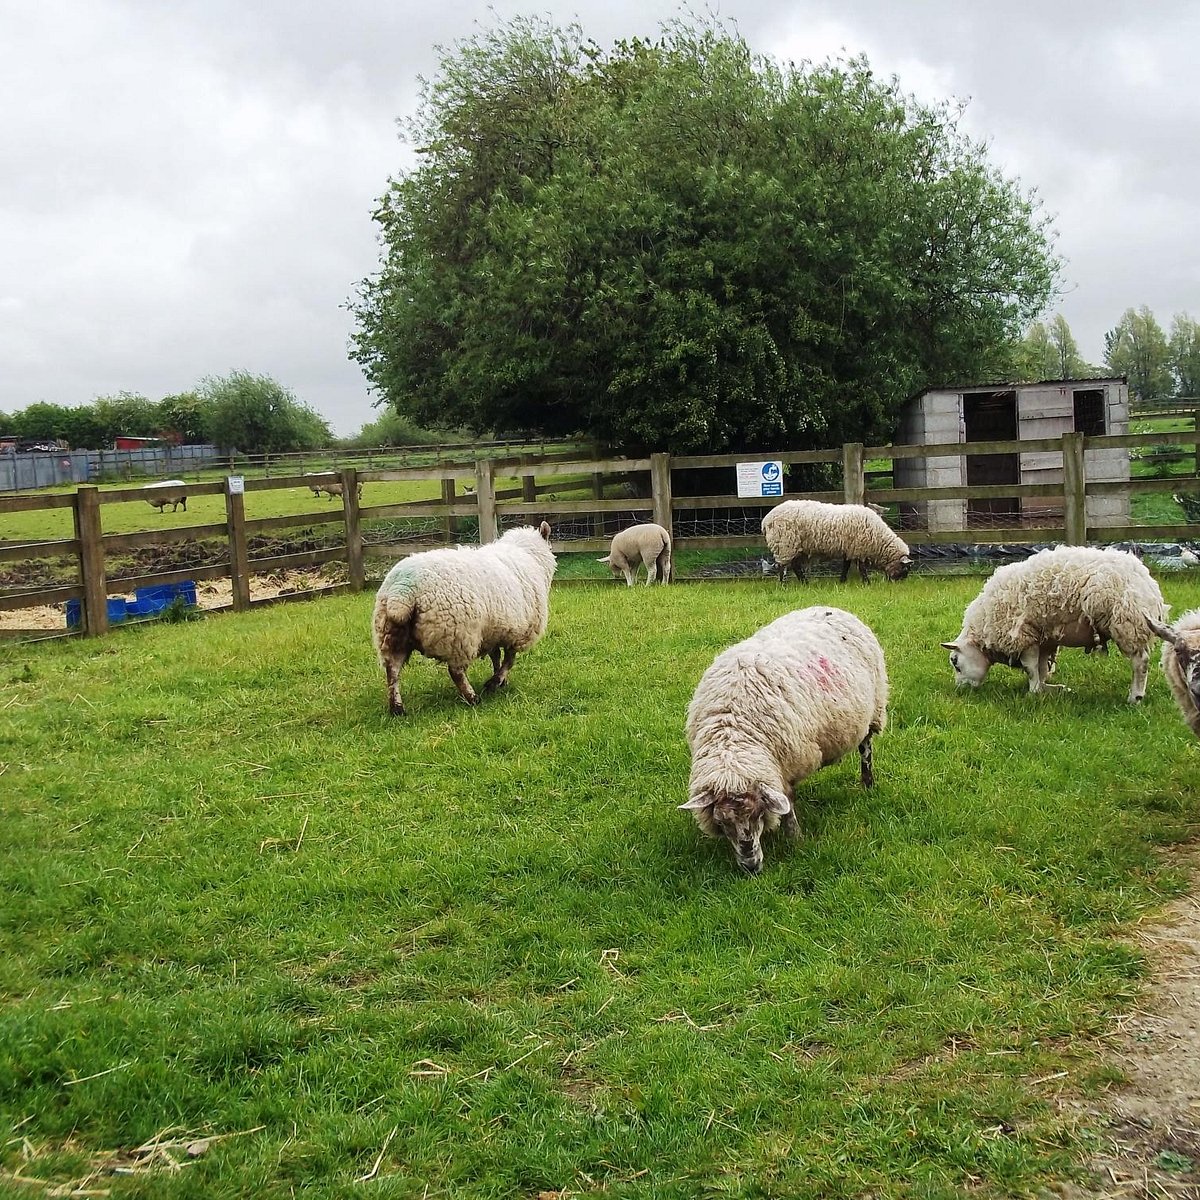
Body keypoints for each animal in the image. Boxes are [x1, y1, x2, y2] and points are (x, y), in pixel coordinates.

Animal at [372, 518, 554, 710]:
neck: (528, 555)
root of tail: (404, 589)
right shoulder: (519, 634)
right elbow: (509, 661)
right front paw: (495, 681)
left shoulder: (492, 631)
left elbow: (496, 656)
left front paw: (498, 680)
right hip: (458, 635)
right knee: (456, 672)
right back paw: (472, 698)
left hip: (390, 634)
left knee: (392, 671)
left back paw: (397, 707)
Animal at [681, 609, 888, 873]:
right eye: (722, 823)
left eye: (758, 814)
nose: (751, 867)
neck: (734, 734)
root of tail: (835, 608)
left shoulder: (787, 765)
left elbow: (788, 805)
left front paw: (795, 838)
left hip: (874, 711)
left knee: (866, 749)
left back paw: (867, 783)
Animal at [758, 499, 907, 583]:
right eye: (905, 568)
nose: (899, 583)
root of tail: (766, 520)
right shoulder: (859, 548)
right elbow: (861, 567)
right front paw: (867, 583)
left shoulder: (849, 548)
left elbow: (846, 565)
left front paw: (842, 581)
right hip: (784, 544)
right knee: (782, 566)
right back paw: (784, 584)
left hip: (794, 547)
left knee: (794, 566)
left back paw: (804, 582)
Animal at [940, 547, 1166, 700]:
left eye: (955, 662)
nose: (960, 690)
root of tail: (1148, 584)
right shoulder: (1045, 640)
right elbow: (1041, 669)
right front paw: (1050, 690)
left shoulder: (1025, 634)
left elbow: (1031, 668)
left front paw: (1032, 694)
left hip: (1127, 623)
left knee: (1140, 662)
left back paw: (1135, 696)